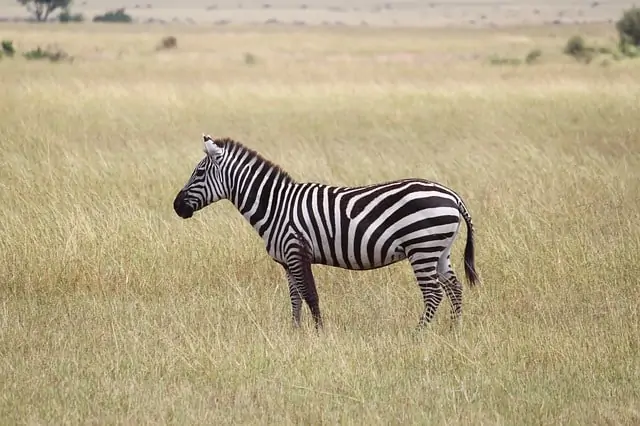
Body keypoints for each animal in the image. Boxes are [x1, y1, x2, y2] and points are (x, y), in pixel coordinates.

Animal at [172, 135, 478, 332]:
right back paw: (455, 329)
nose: (176, 207)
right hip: (439, 249)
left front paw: (319, 333)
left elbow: (310, 295)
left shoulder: (297, 251)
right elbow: (295, 298)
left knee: (433, 293)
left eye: (199, 173)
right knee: (454, 287)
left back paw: (419, 333)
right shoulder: (287, 261)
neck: (276, 205)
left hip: (422, 247)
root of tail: (452, 195)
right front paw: (295, 332)